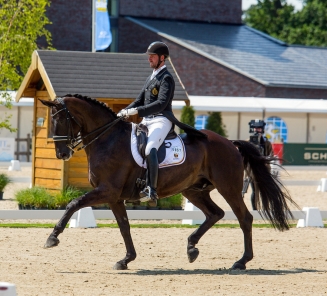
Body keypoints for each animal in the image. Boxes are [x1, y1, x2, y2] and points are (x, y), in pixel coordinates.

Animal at [39, 94, 298, 270]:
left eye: (60, 120)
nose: (62, 154)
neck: (108, 139)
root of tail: (230, 143)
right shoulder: (114, 197)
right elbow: (124, 226)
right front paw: (126, 259)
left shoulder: (106, 191)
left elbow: (73, 204)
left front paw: (52, 238)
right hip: (193, 190)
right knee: (215, 214)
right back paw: (192, 248)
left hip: (229, 188)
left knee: (244, 218)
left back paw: (241, 261)